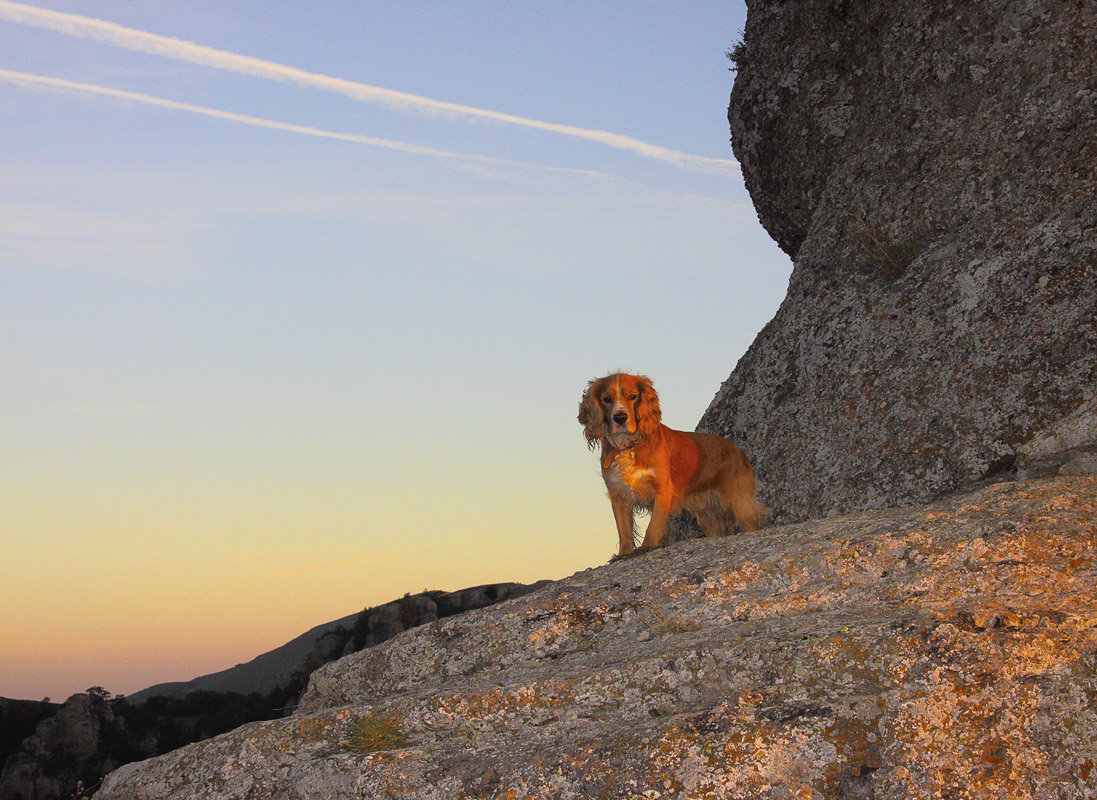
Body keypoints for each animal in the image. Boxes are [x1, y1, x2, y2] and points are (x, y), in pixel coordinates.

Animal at [579, 373, 767, 555]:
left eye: (632, 396)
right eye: (607, 399)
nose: (620, 417)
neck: (629, 445)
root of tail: (738, 450)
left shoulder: (662, 490)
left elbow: (654, 527)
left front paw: (647, 547)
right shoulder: (619, 494)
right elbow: (624, 531)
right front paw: (623, 555)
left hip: (741, 504)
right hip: (708, 517)